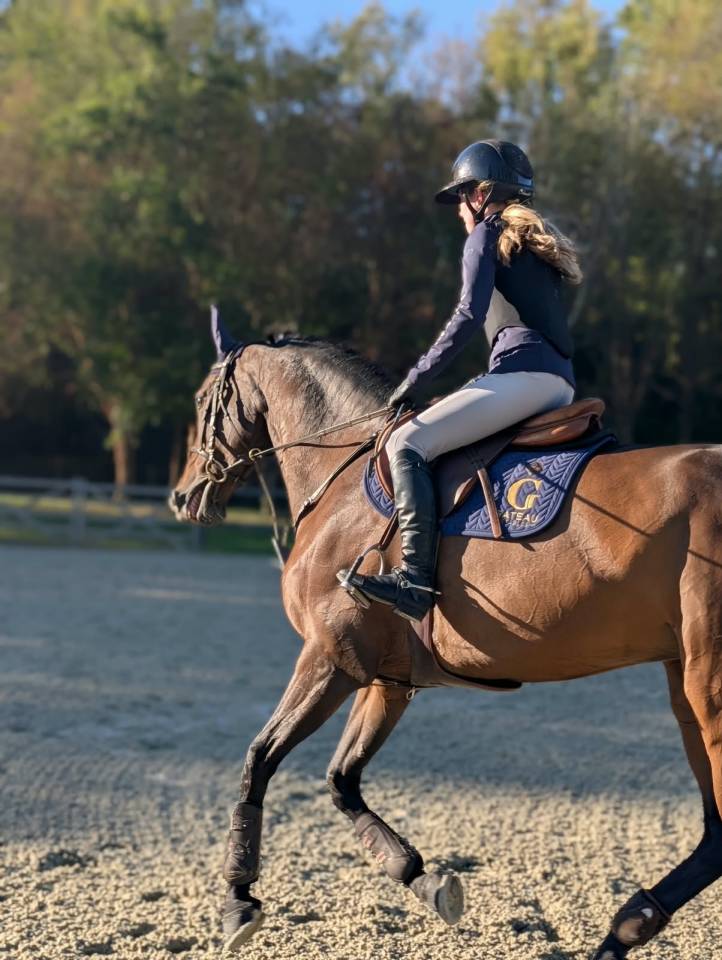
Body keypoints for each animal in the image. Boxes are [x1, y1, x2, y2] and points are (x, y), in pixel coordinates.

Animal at [170, 316, 722, 960]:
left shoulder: (331, 659)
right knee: (715, 831)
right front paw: (423, 879)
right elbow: (341, 780)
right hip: (682, 682)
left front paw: (239, 900)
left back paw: (625, 927)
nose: (182, 496)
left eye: (203, 400)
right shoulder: (387, 678)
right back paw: (624, 931)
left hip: (706, 685)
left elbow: (259, 758)